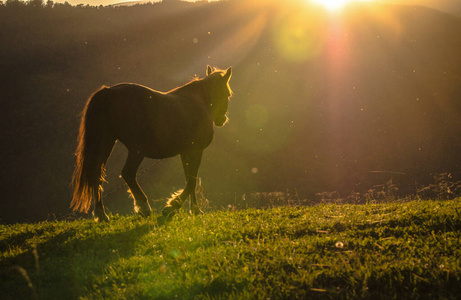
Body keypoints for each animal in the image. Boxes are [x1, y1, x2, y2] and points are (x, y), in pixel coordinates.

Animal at [71, 64, 232, 221]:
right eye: (228, 94)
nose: (222, 120)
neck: (200, 102)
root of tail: (108, 91)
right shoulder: (196, 150)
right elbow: (192, 181)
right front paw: (172, 207)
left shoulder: (186, 152)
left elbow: (189, 180)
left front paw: (194, 210)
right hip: (136, 150)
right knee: (127, 173)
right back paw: (144, 207)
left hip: (107, 143)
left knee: (97, 175)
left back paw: (101, 214)